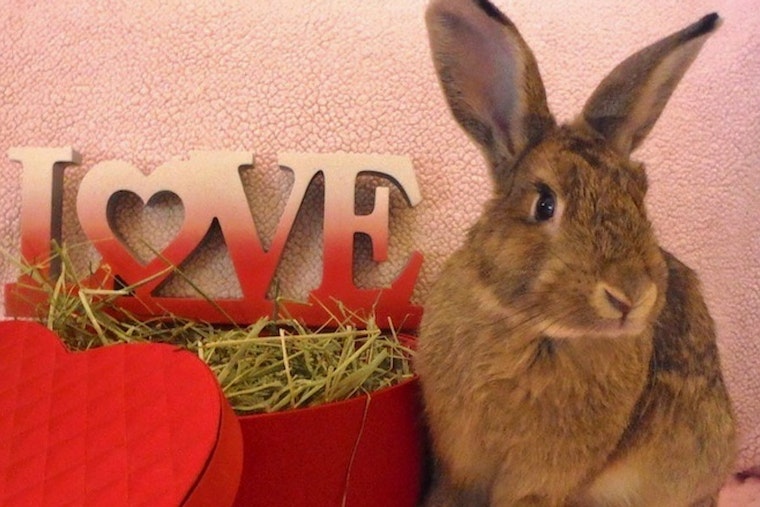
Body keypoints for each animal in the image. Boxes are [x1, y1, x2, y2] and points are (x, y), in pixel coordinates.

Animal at [415, 1, 737, 506]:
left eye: (640, 194)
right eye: (544, 204)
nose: (631, 294)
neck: (533, 331)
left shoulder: (538, 481)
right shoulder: (456, 465)